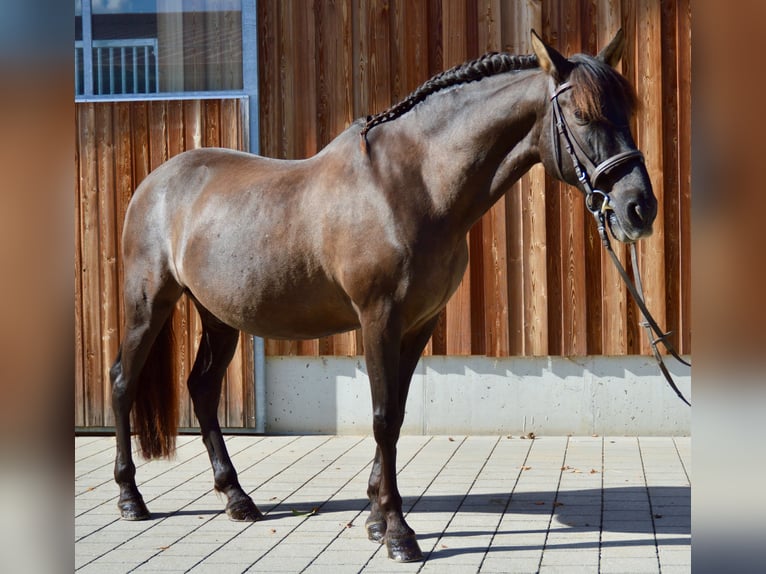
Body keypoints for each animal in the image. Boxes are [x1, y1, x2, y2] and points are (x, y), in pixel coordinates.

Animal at [110, 30, 656, 562]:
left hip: (219, 317)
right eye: (583, 116)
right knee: (122, 383)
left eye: (627, 113)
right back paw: (131, 499)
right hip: (150, 304)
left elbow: (396, 412)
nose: (639, 208)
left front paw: (375, 518)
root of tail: (155, 182)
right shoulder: (380, 318)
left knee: (202, 389)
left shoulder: (418, 324)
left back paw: (237, 499)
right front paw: (398, 532)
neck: (414, 186)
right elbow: (383, 417)